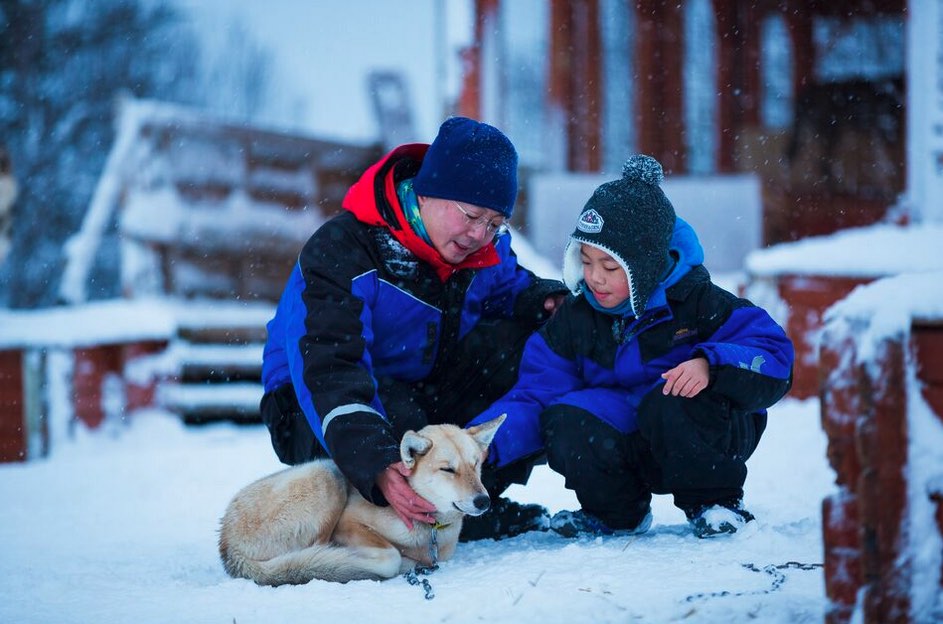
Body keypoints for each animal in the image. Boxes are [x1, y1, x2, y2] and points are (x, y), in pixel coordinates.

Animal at [218, 414, 506, 584]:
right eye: (448, 469)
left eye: (475, 465)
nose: (483, 501)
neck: (430, 530)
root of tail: (228, 546)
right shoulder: (350, 523)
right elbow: (391, 556)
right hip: (328, 474)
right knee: (314, 552)